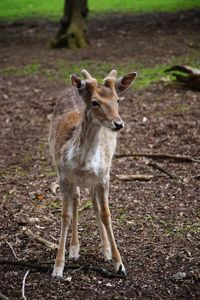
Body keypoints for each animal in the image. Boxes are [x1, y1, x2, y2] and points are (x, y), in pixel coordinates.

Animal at [49, 69, 137, 278]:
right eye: (95, 102)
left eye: (117, 99)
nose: (118, 123)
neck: (82, 162)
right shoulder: (63, 177)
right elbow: (65, 215)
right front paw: (58, 267)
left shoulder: (104, 176)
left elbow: (105, 214)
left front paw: (119, 264)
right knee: (77, 201)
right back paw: (74, 248)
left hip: (96, 178)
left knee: (94, 205)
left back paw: (105, 251)